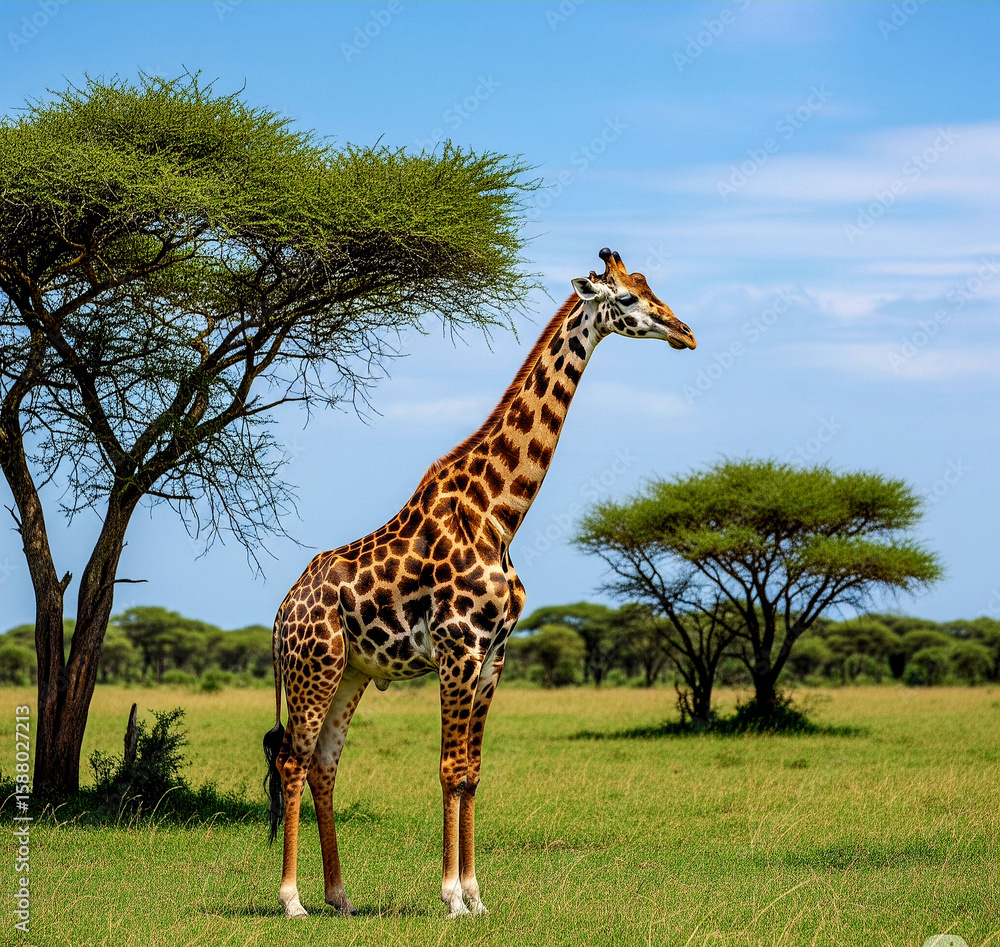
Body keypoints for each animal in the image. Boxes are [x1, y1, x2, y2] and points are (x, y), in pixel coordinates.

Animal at [262, 248, 696, 919]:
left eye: (650, 287)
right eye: (626, 298)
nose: (685, 333)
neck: (498, 513)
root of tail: (282, 612)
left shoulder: (494, 654)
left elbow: (471, 772)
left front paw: (476, 896)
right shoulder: (458, 646)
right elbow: (448, 767)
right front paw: (449, 896)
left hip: (350, 673)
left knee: (324, 766)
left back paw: (340, 896)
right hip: (315, 668)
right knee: (291, 760)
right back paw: (292, 901)